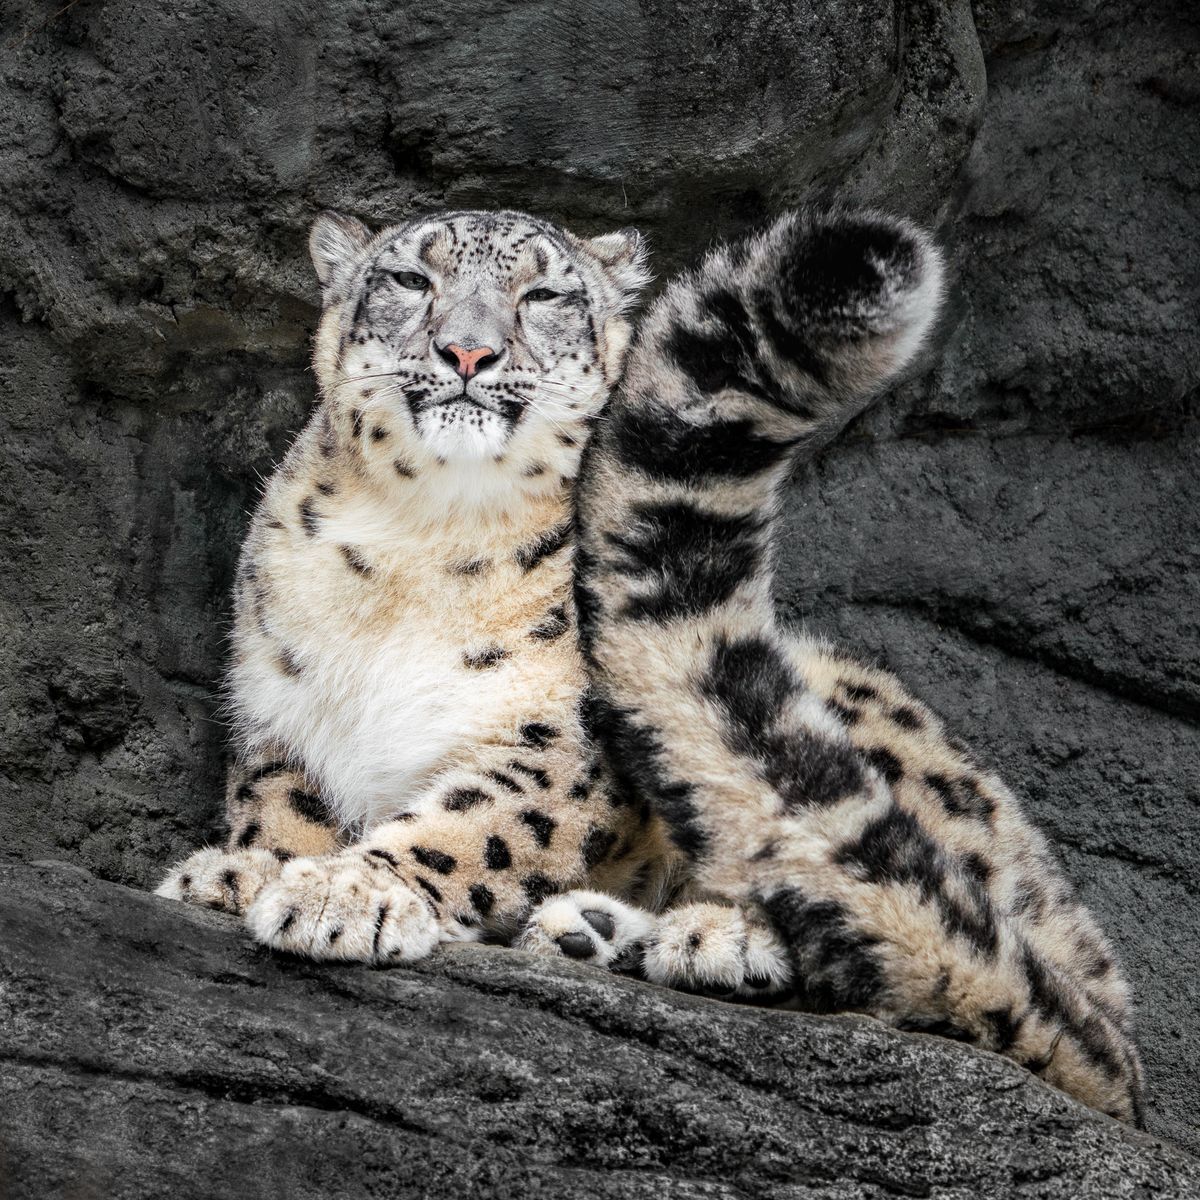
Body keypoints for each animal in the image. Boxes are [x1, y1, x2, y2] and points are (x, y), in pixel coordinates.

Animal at [157, 205, 1143, 1125]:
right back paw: (593, 929)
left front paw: (345, 894)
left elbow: (469, 825)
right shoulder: (277, 703)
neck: (424, 541)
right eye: (409, 279)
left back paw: (720, 939)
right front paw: (244, 870)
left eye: (543, 294)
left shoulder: (566, 741)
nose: (468, 350)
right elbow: (280, 800)